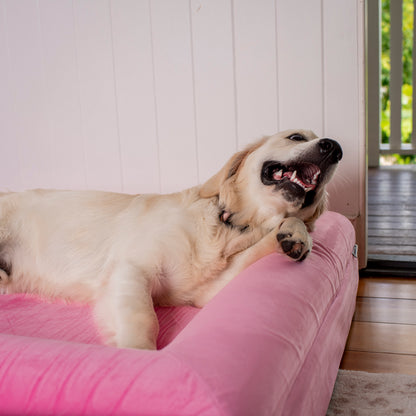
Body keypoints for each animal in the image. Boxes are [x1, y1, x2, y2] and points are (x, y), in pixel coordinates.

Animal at [0, 128, 342, 350]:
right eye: (296, 137)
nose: (335, 148)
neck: (232, 225)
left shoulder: (208, 291)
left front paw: (294, 234)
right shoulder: (132, 268)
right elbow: (144, 318)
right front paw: (137, 354)